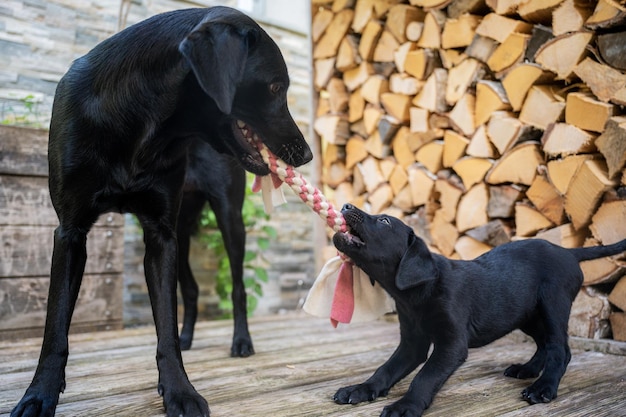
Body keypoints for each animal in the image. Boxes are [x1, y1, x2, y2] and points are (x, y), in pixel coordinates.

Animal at [15, 6, 314, 416]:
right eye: (274, 88)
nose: (307, 154)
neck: (138, 118)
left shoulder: (160, 234)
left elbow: (166, 327)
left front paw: (179, 390)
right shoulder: (71, 233)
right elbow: (55, 325)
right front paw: (39, 393)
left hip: (227, 219)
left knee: (236, 287)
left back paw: (241, 342)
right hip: (183, 233)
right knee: (190, 288)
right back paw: (190, 337)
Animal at [332, 205, 624, 416]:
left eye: (384, 221)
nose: (346, 205)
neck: (416, 294)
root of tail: (568, 251)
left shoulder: (452, 345)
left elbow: (425, 377)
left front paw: (405, 406)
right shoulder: (412, 343)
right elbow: (387, 368)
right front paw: (361, 389)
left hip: (553, 305)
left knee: (559, 348)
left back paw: (543, 387)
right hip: (525, 313)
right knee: (544, 344)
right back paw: (527, 370)